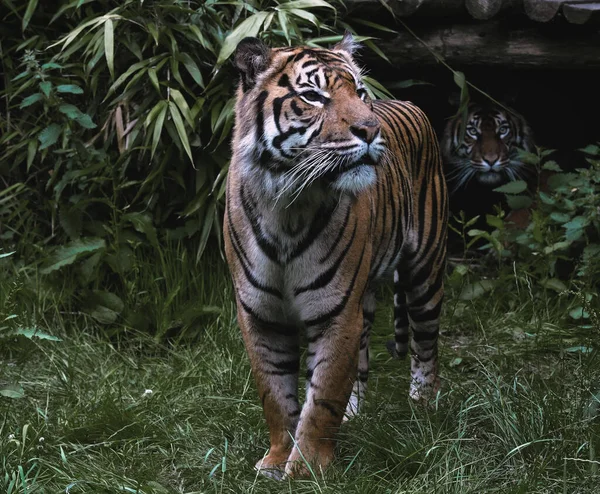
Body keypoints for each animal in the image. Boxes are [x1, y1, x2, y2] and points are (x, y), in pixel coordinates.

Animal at [223, 32, 448, 480]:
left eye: (360, 93)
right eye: (313, 96)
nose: (370, 128)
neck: (286, 207)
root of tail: (409, 103)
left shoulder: (336, 313)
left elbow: (322, 396)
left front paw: (307, 468)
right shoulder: (260, 316)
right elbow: (275, 395)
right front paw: (276, 460)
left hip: (425, 271)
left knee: (425, 345)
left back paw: (423, 407)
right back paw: (355, 416)